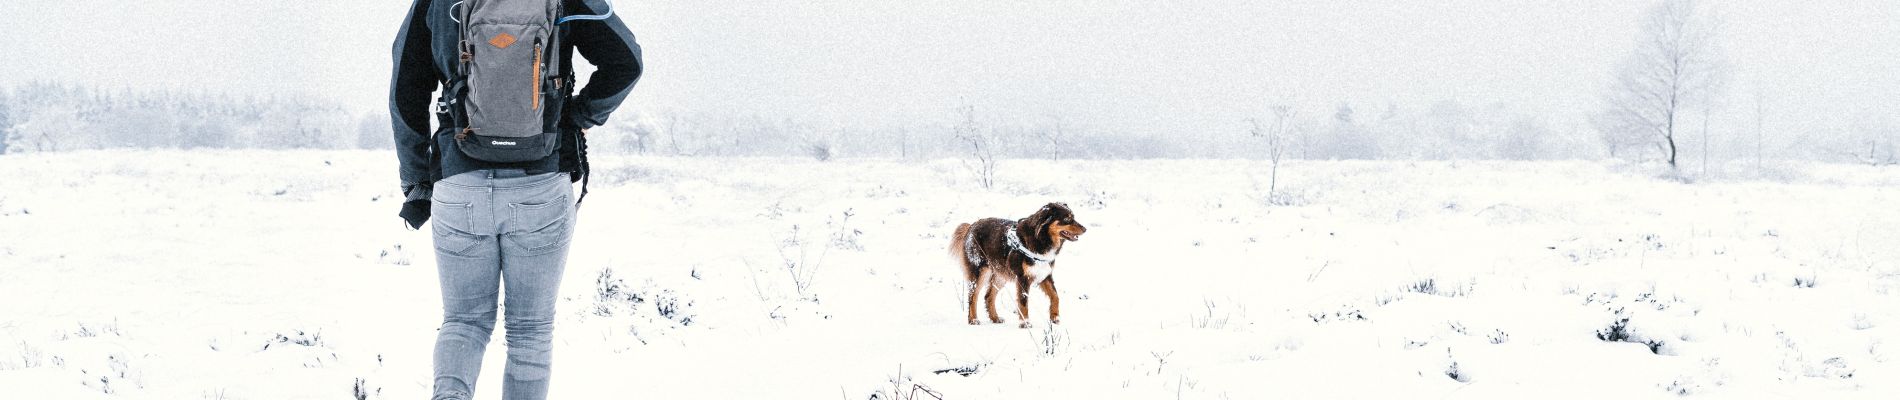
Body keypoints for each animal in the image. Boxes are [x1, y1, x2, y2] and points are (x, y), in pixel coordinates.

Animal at [946, 201, 1086, 326]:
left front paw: (1055, 317)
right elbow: (1023, 302)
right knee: (973, 296)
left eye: (1073, 217)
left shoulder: (1045, 274)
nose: (1085, 229)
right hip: (980, 272)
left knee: (988, 296)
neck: (1041, 239)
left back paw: (995, 318)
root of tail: (971, 226)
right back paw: (973, 319)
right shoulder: (1023, 277)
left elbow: (1056, 296)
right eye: (1067, 219)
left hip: (1001, 274)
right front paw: (1025, 323)